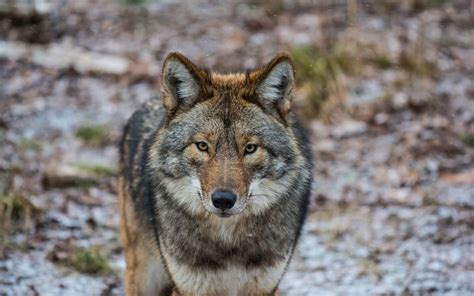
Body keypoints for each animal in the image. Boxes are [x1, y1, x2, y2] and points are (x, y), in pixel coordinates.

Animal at [117, 52, 312, 294]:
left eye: (250, 148)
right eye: (202, 146)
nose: (223, 200)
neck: (227, 242)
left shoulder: (265, 287)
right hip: (144, 277)